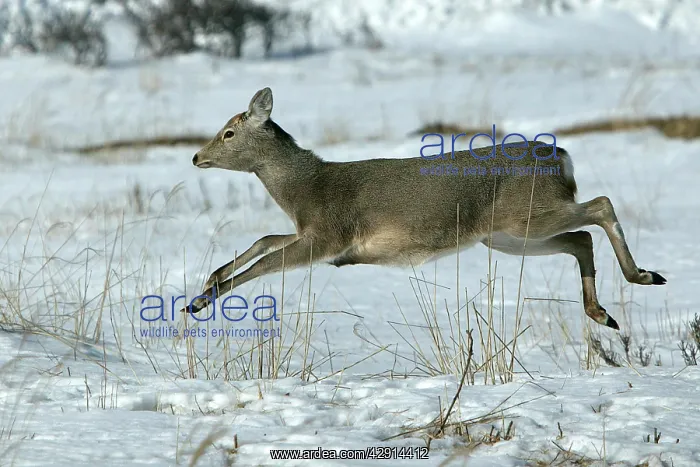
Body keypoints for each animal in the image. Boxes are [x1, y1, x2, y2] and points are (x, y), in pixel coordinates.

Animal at [183, 87, 667, 330]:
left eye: (228, 133)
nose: (195, 157)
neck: (305, 189)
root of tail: (560, 157)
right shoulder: (311, 233)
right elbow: (265, 239)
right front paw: (210, 280)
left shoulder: (330, 235)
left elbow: (266, 264)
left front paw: (202, 301)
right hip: (508, 235)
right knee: (580, 237)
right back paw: (602, 313)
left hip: (525, 215)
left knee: (600, 206)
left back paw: (643, 276)